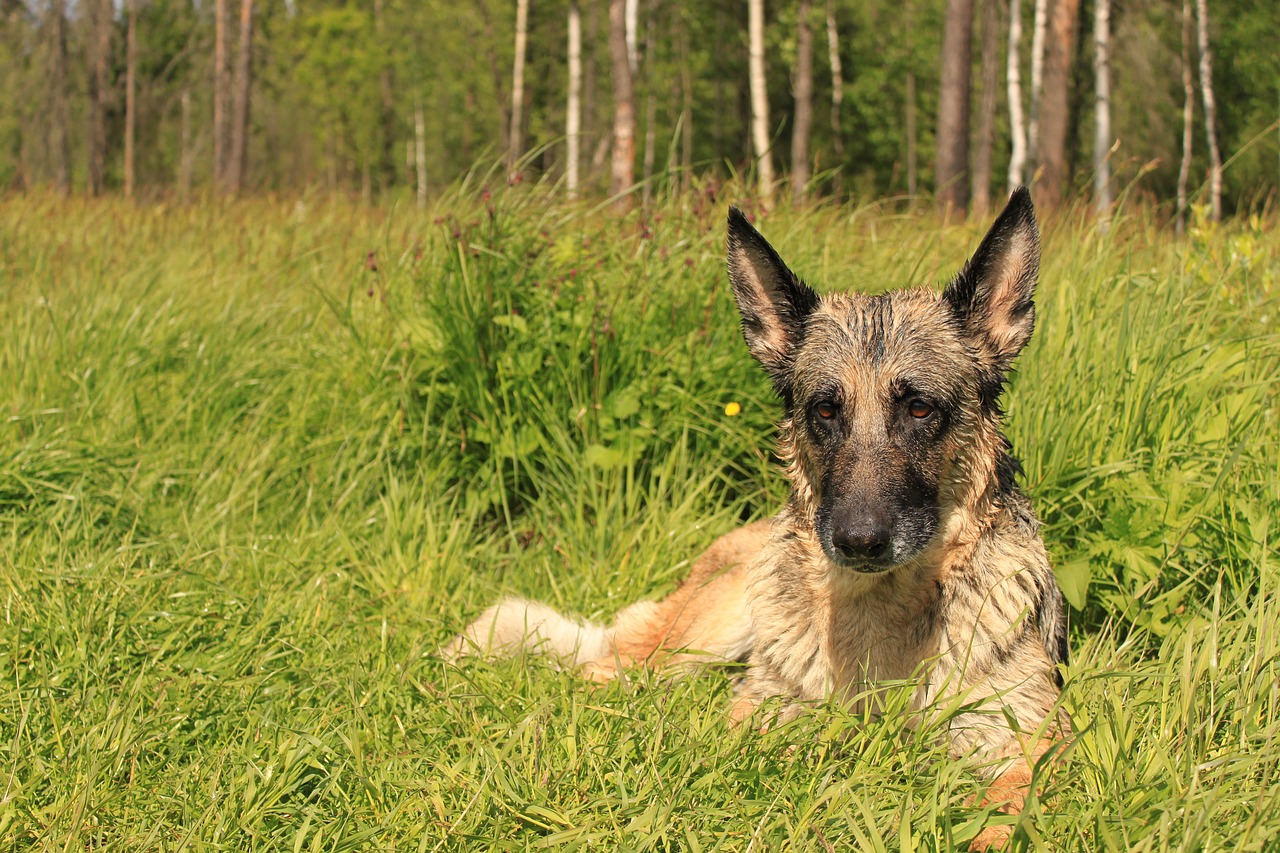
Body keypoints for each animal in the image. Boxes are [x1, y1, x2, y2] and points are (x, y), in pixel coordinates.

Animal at [445, 188, 1064, 845]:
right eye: (825, 410)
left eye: (920, 409)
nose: (857, 541)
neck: (882, 610)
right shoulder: (760, 711)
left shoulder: (1030, 742)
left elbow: (1003, 814)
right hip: (704, 633)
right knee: (607, 673)